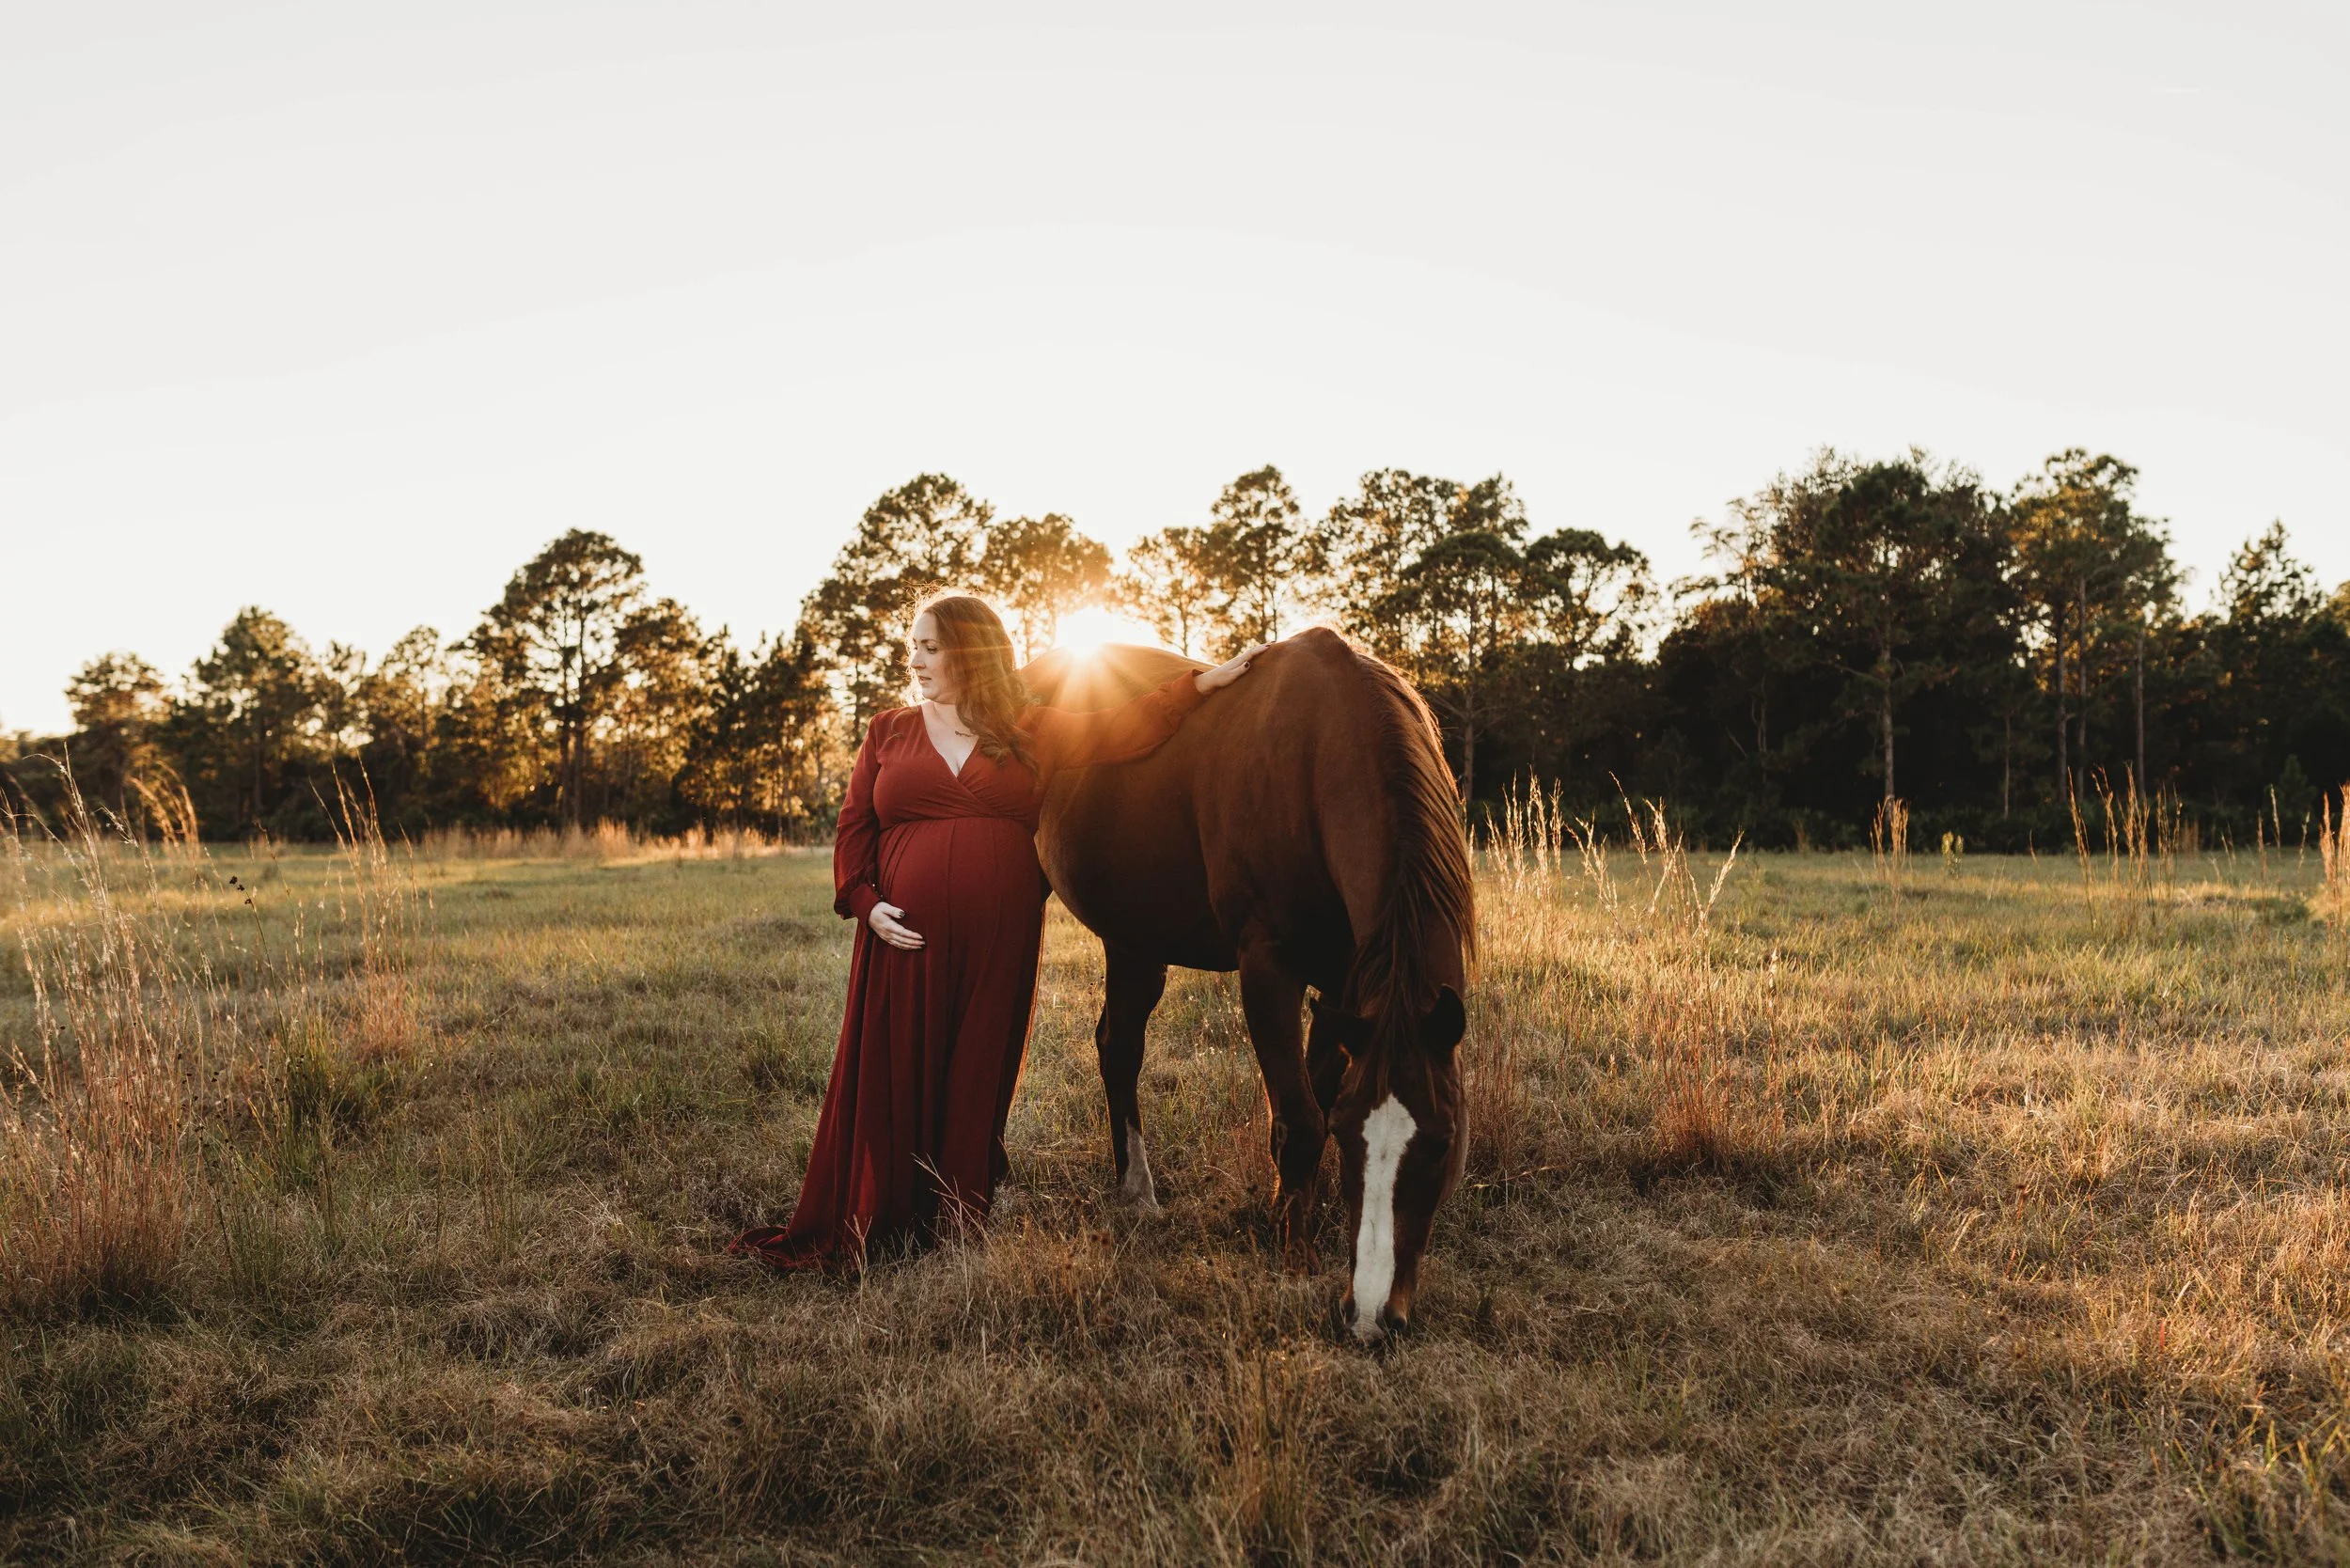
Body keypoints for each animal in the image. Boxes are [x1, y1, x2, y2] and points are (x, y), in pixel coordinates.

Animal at [1024, 629, 1476, 1343]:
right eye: (1353, 1135)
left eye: (1441, 1141)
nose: (1372, 1318)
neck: (1315, 760)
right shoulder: (1268, 970)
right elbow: (1301, 1119)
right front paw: (1296, 1259)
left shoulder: (1343, 989)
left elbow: (1311, 1099)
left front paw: (1290, 1217)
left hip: (1135, 939)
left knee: (1118, 1047)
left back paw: (1135, 1187)